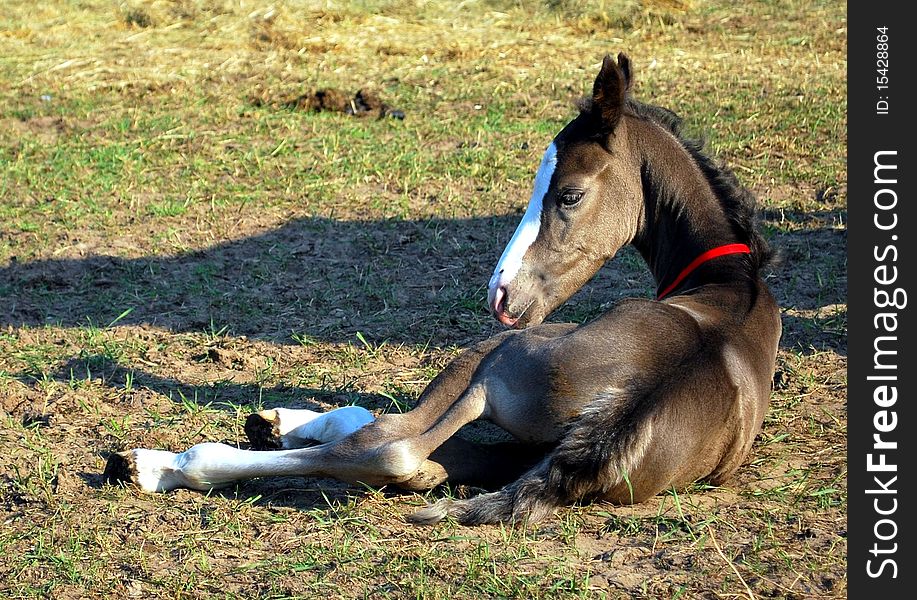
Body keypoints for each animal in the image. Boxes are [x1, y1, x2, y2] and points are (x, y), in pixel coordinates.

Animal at [107, 56, 780, 524]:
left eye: (568, 194)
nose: (500, 294)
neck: (729, 283)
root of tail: (625, 407)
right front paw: (280, 421)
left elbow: (384, 433)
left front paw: (267, 426)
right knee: (417, 460)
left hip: (492, 353)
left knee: (392, 447)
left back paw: (159, 464)